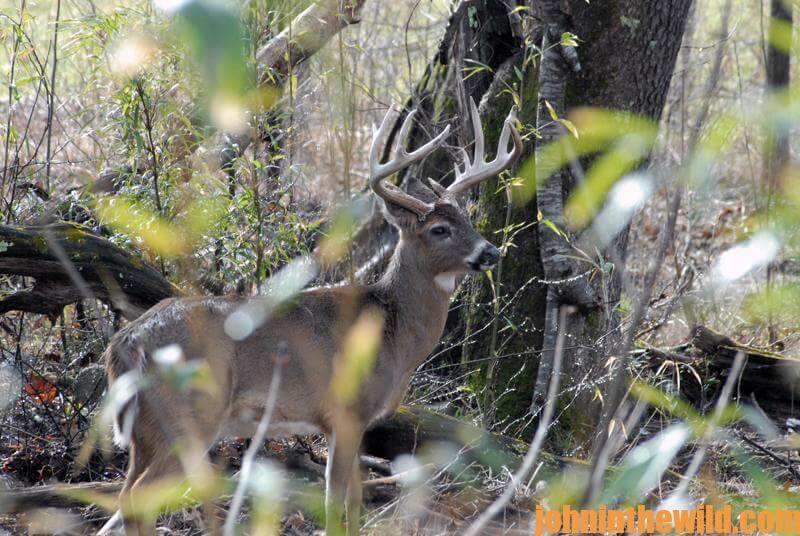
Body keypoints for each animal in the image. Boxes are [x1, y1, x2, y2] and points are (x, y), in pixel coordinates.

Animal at [97, 98, 522, 535]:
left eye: (468, 220)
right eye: (439, 230)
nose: (491, 251)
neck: (393, 333)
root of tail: (123, 344)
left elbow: (356, 499)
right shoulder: (346, 411)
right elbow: (337, 502)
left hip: (147, 429)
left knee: (126, 496)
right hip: (190, 414)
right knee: (137, 497)